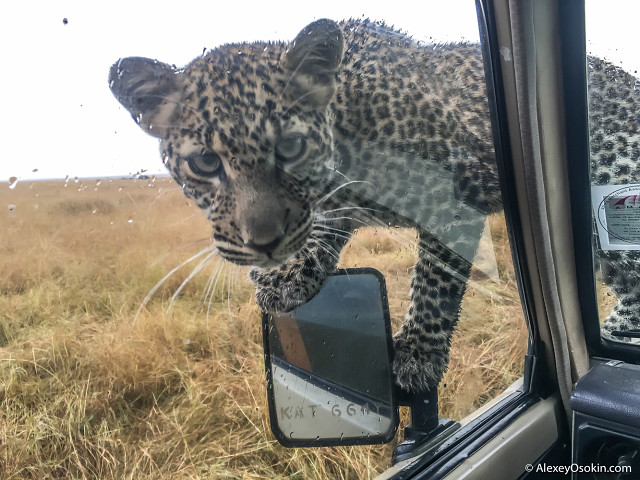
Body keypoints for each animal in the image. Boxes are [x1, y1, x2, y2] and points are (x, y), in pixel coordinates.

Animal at [107, 18, 640, 394]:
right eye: (205, 162)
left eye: (290, 147)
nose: (263, 245)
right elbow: (323, 228)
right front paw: (289, 274)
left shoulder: (456, 192)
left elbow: (434, 279)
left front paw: (417, 356)